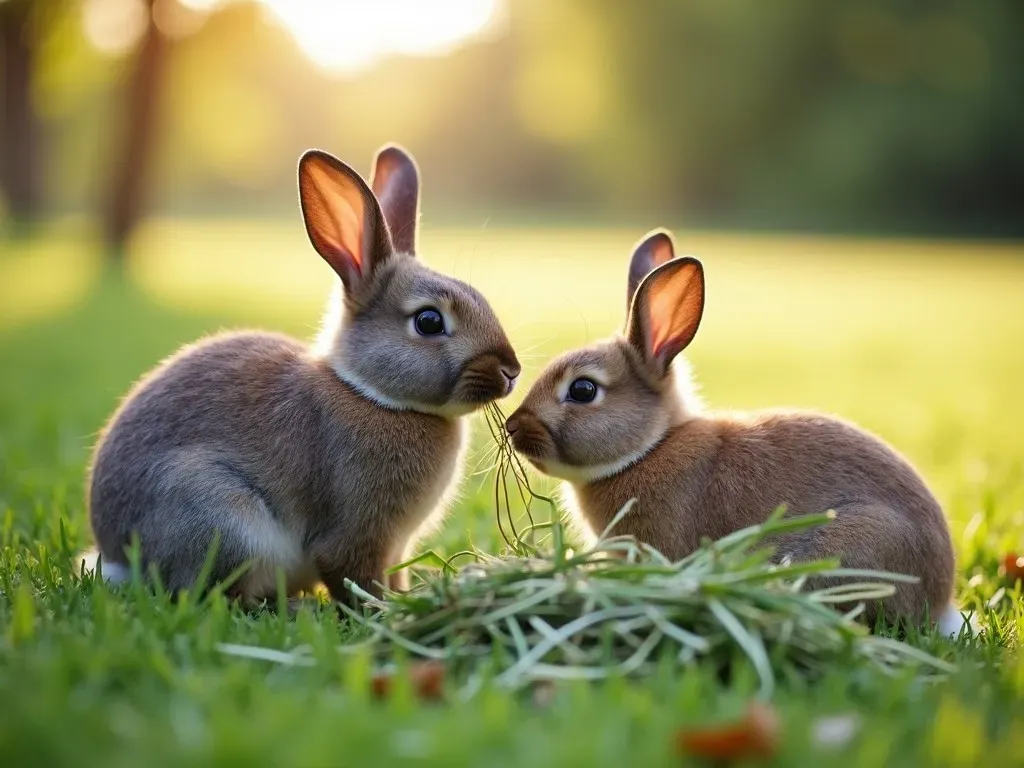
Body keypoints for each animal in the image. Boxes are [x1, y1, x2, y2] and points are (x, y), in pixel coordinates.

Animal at [79, 147, 520, 606]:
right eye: (429, 321)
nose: (511, 371)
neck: (371, 394)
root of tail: (119, 557)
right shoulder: (356, 534)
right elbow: (355, 576)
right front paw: (386, 610)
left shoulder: (395, 545)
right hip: (220, 516)